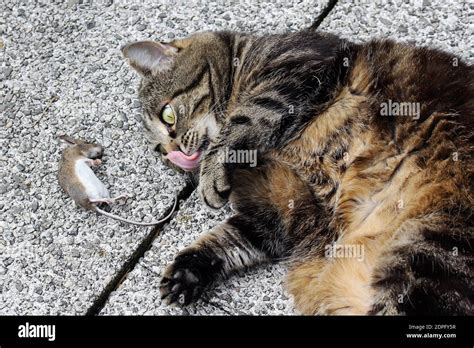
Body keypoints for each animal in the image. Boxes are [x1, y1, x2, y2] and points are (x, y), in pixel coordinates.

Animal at [123, 16, 474, 316]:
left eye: (168, 116)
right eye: (159, 151)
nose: (174, 153)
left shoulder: (296, 67)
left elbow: (244, 117)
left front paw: (211, 173)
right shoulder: (283, 207)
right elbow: (229, 239)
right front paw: (187, 272)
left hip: (428, 251)